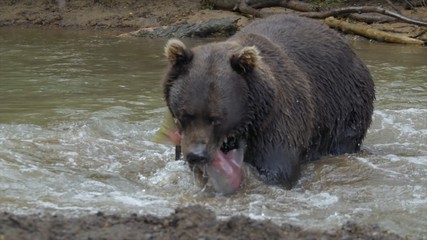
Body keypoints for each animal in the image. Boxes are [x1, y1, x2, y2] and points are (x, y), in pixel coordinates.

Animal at [162, 14, 376, 191]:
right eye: (184, 115)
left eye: (216, 119)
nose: (197, 155)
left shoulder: (277, 121)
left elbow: (277, 168)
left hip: (346, 105)